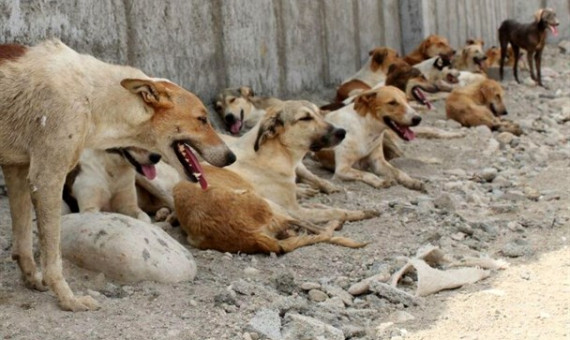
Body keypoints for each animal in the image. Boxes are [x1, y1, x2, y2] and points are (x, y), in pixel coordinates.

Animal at [0, 39, 235, 310]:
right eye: (202, 119)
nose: (232, 157)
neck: (92, 96)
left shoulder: (17, 169)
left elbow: (23, 241)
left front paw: (32, 280)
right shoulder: (46, 178)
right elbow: (52, 257)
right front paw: (68, 299)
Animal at [222, 99, 378, 224]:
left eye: (319, 113)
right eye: (305, 118)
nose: (342, 132)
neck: (274, 154)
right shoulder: (295, 211)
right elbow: (335, 211)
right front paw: (361, 213)